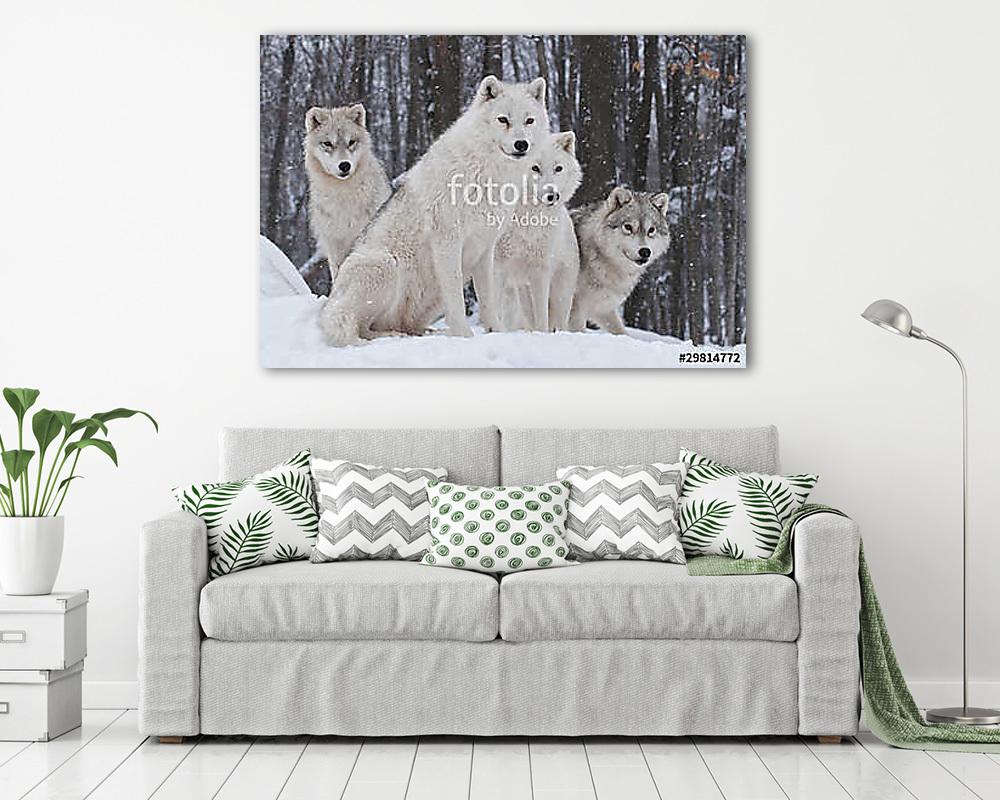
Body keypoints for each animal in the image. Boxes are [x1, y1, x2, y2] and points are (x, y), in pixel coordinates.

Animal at [320, 76, 548, 346]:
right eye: (503, 120)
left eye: (529, 120)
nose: (521, 144)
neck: (486, 173)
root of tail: (331, 302)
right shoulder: (447, 241)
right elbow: (456, 298)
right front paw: (464, 336)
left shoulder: (485, 248)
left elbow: (488, 299)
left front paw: (497, 332)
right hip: (385, 265)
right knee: (361, 327)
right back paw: (393, 336)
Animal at [494, 131, 582, 331]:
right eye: (534, 168)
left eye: (558, 168)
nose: (553, 196)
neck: (527, 218)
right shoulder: (498, 265)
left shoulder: (540, 270)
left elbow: (542, 318)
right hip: (521, 293)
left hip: (560, 295)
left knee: (557, 321)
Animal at [569, 187, 671, 335]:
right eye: (628, 227)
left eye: (651, 230)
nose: (645, 251)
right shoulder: (575, 308)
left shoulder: (603, 308)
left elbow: (621, 331)